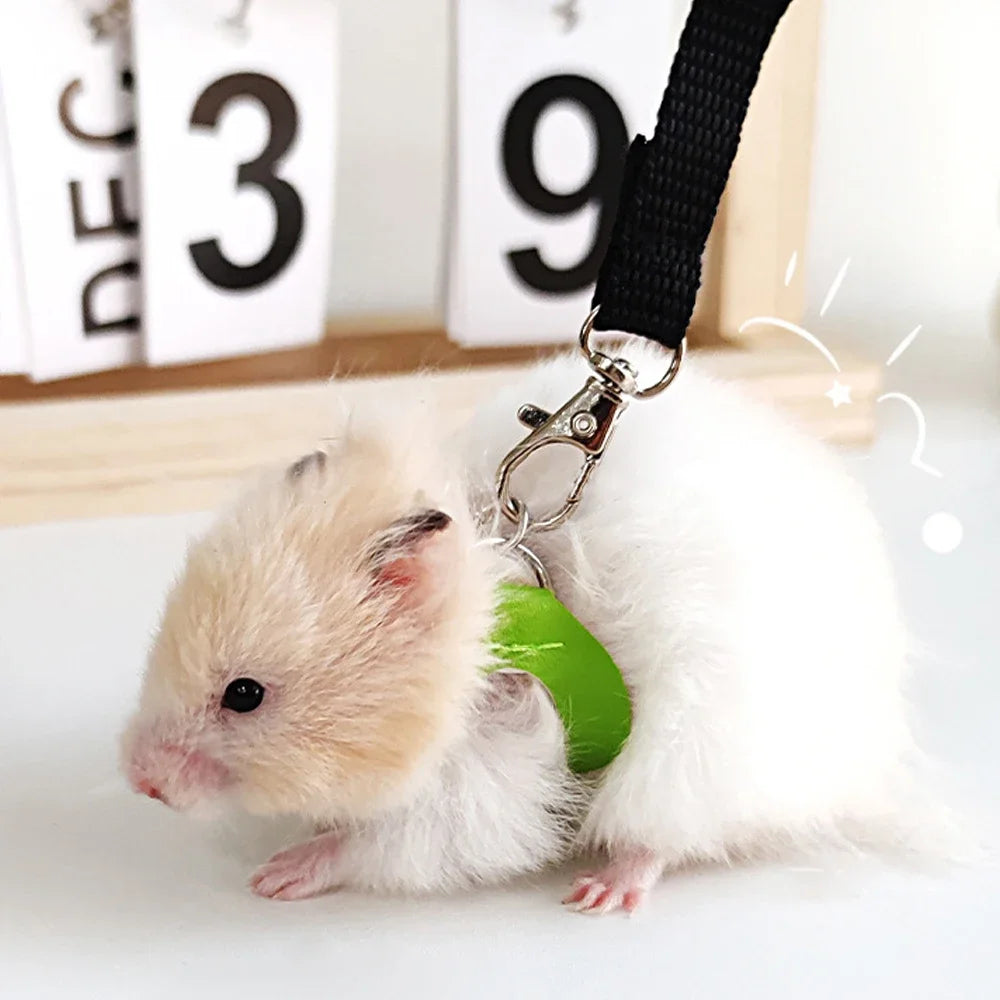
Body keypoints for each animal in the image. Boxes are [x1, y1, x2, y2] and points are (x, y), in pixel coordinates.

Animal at [123, 345, 951, 914]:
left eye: (245, 694)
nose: (141, 782)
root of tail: (872, 760)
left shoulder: (482, 789)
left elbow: (372, 843)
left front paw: (276, 876)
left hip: (690, 763)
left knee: (661, 838)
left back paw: (600, 895)